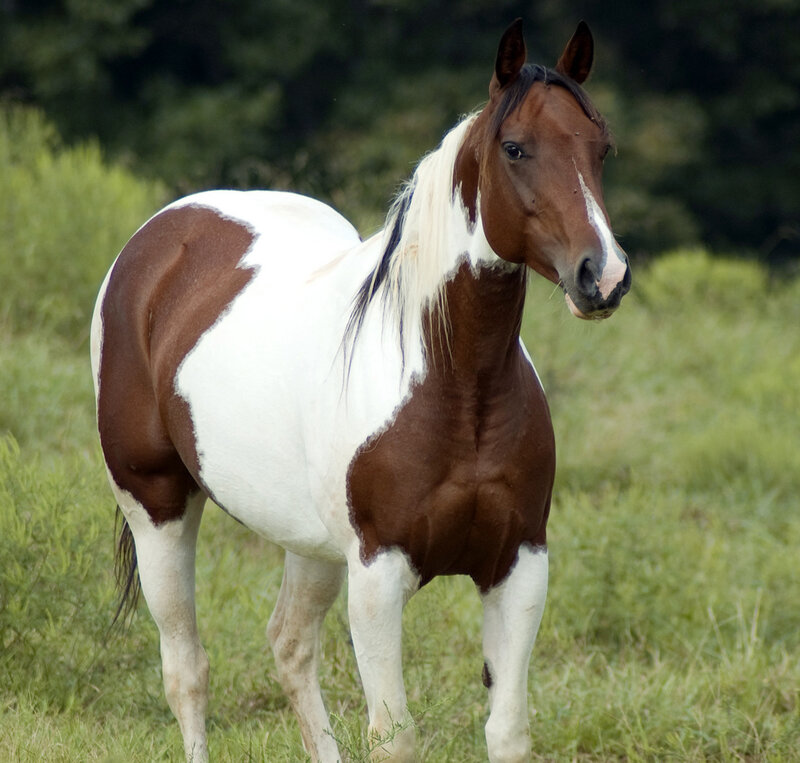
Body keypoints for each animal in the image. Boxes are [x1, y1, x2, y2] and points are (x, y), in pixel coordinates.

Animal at [91, 18, 630, 763]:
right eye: (516, 147)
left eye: (601, 148)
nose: (602, 277)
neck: (458, 390)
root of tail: (162, 236)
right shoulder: (378, 574)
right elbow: (394, 736)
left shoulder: (519, 565)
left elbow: (508, 731)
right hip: (157, 507)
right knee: (186, 670)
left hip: (311, 544)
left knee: (289, 647)